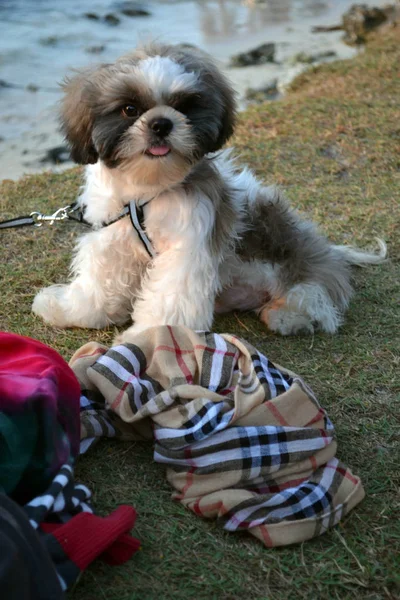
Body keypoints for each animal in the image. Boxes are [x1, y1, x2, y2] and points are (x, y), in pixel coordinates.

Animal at [32, 41, 386, 342]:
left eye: (186, 107)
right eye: (129, 109)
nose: (161, 123)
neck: (149, 191)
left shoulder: (190, 242)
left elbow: (172, 296)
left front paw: (151, 339)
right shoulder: (112, 235)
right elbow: (99, 281)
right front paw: (71, 310)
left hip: (303, 271)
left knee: (315, 300)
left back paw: (287, 315)